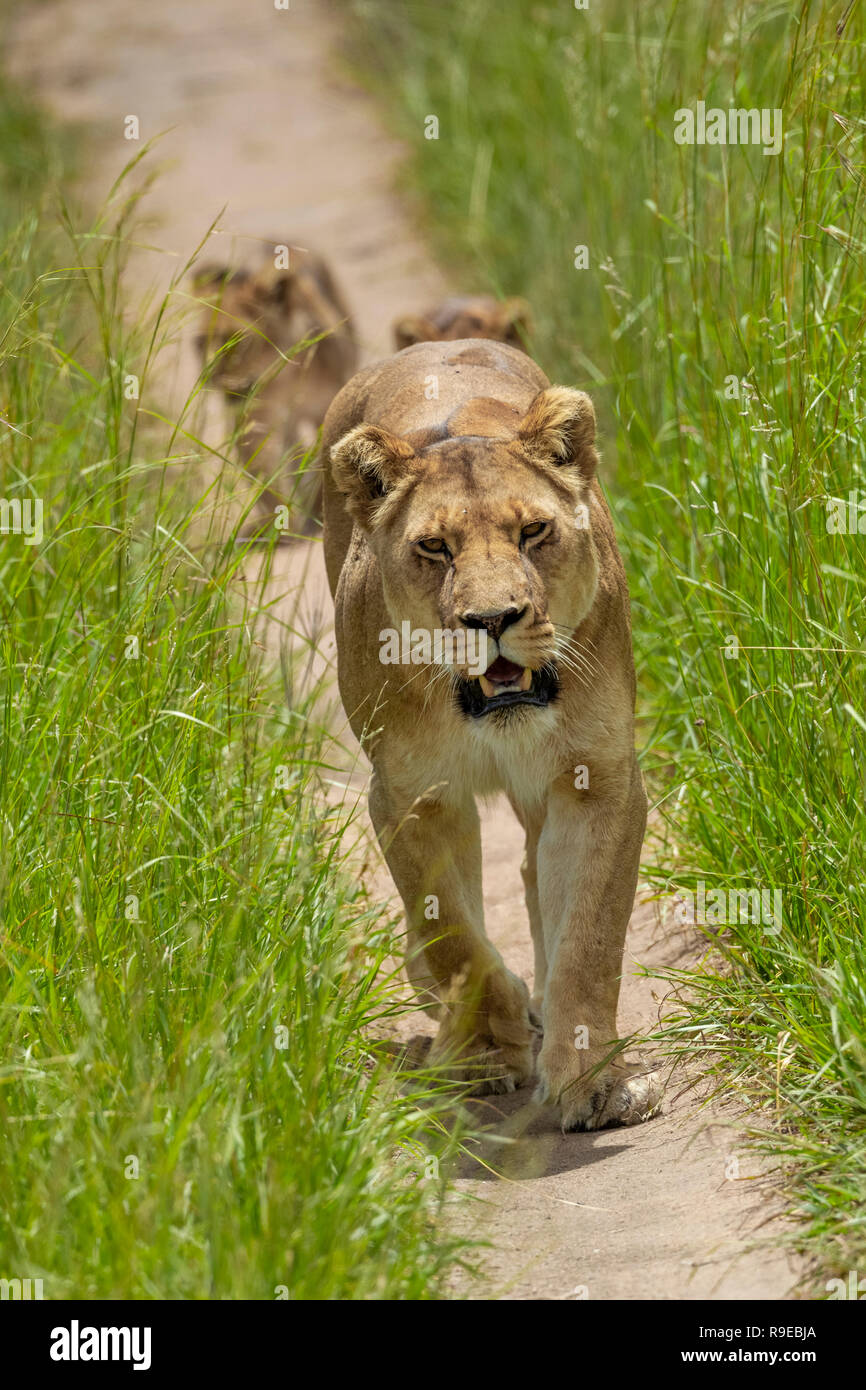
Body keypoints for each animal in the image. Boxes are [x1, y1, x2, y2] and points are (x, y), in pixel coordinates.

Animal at [191, 243, 358, 535]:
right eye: (200, 342)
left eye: (235, 340)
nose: (209, 377)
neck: (289, 379)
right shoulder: (254, 422)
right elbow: (265, 475)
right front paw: (279, 522)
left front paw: (316, 516)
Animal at [321, 337, 662, 1131]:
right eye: (435, 547)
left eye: (532, 531)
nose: (493, 619)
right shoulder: (410, 795)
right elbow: (453, 935)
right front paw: (486, 1048)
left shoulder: (598, 779)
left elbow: (588, 936)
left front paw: (594, 1083)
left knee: (536, 876)